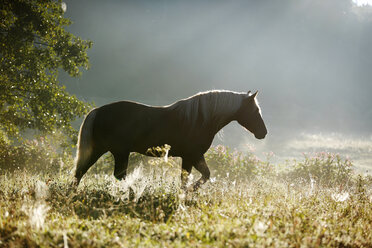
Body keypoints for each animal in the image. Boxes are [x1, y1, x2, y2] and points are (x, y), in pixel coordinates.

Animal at [74, 90, 268, 191]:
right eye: (255, 111)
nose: (263, 133)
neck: (200, 118)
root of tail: (98, 111)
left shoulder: (193, 157)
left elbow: (198, 176)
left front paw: (187, 193)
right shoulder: (191, 156)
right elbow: (194, 178)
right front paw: (187, 193)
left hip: (105, 150)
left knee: (81, 171)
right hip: (118, 152)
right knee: (116, 175)